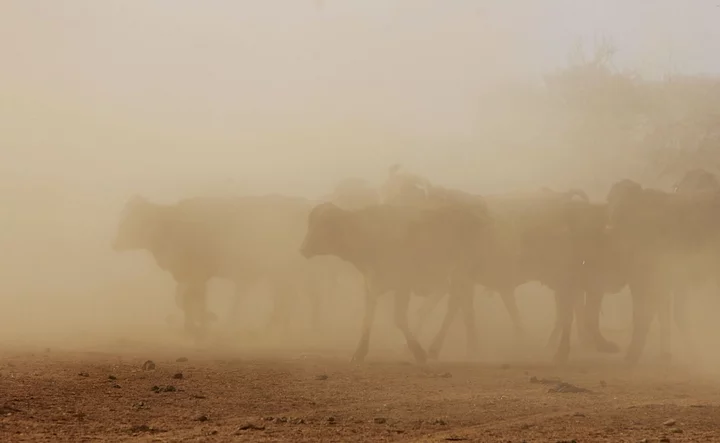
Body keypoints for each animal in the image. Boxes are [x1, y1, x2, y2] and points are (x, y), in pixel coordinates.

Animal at [298, 201, 496, 364]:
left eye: (325, 225)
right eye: (311, 223)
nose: (303, 249)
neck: (368, 236)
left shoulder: (403, 284)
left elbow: (399, 318)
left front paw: (418, 351)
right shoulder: (370, 284)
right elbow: (367, 319)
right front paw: (360, 352)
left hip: (461, 275)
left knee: (460, 308)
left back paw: (458, 348)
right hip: (456, 279)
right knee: (460, 307)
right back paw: (458, 347)